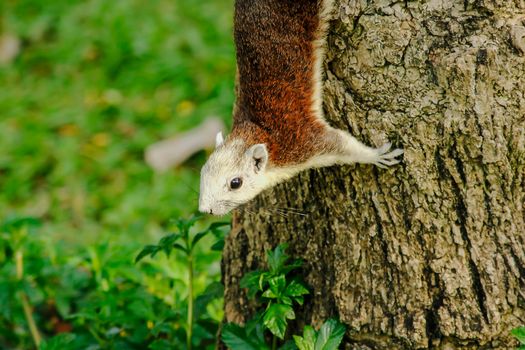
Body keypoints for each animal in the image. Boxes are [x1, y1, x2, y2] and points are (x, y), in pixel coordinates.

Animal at [199, 0, 404, 216]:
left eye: (235, 183)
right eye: (202, 172)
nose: (205, 210)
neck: (257, 129)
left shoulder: (303, 141)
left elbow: (342, 143)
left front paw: (377, 155)